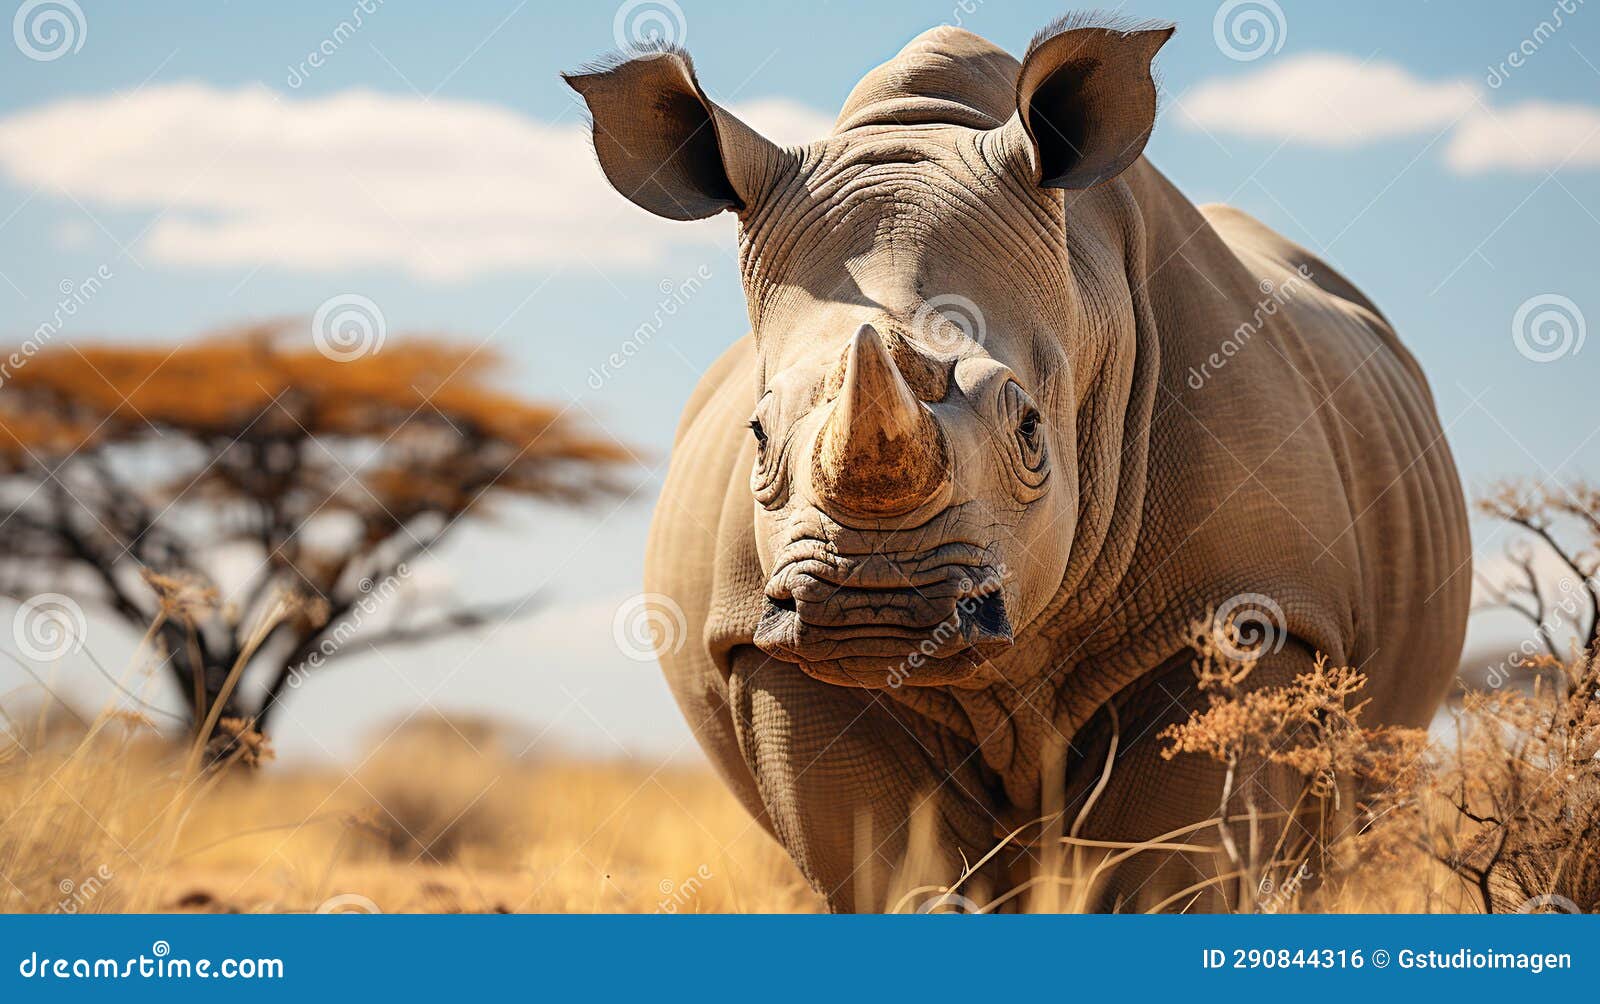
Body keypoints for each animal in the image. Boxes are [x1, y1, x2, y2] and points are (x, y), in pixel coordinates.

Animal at [567, 15, 1469, 912]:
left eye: (1032, 429)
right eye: (756, 434)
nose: (871, 606)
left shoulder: (1254, 604)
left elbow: (1171, 870)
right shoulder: (763, 639)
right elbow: (886, 868)